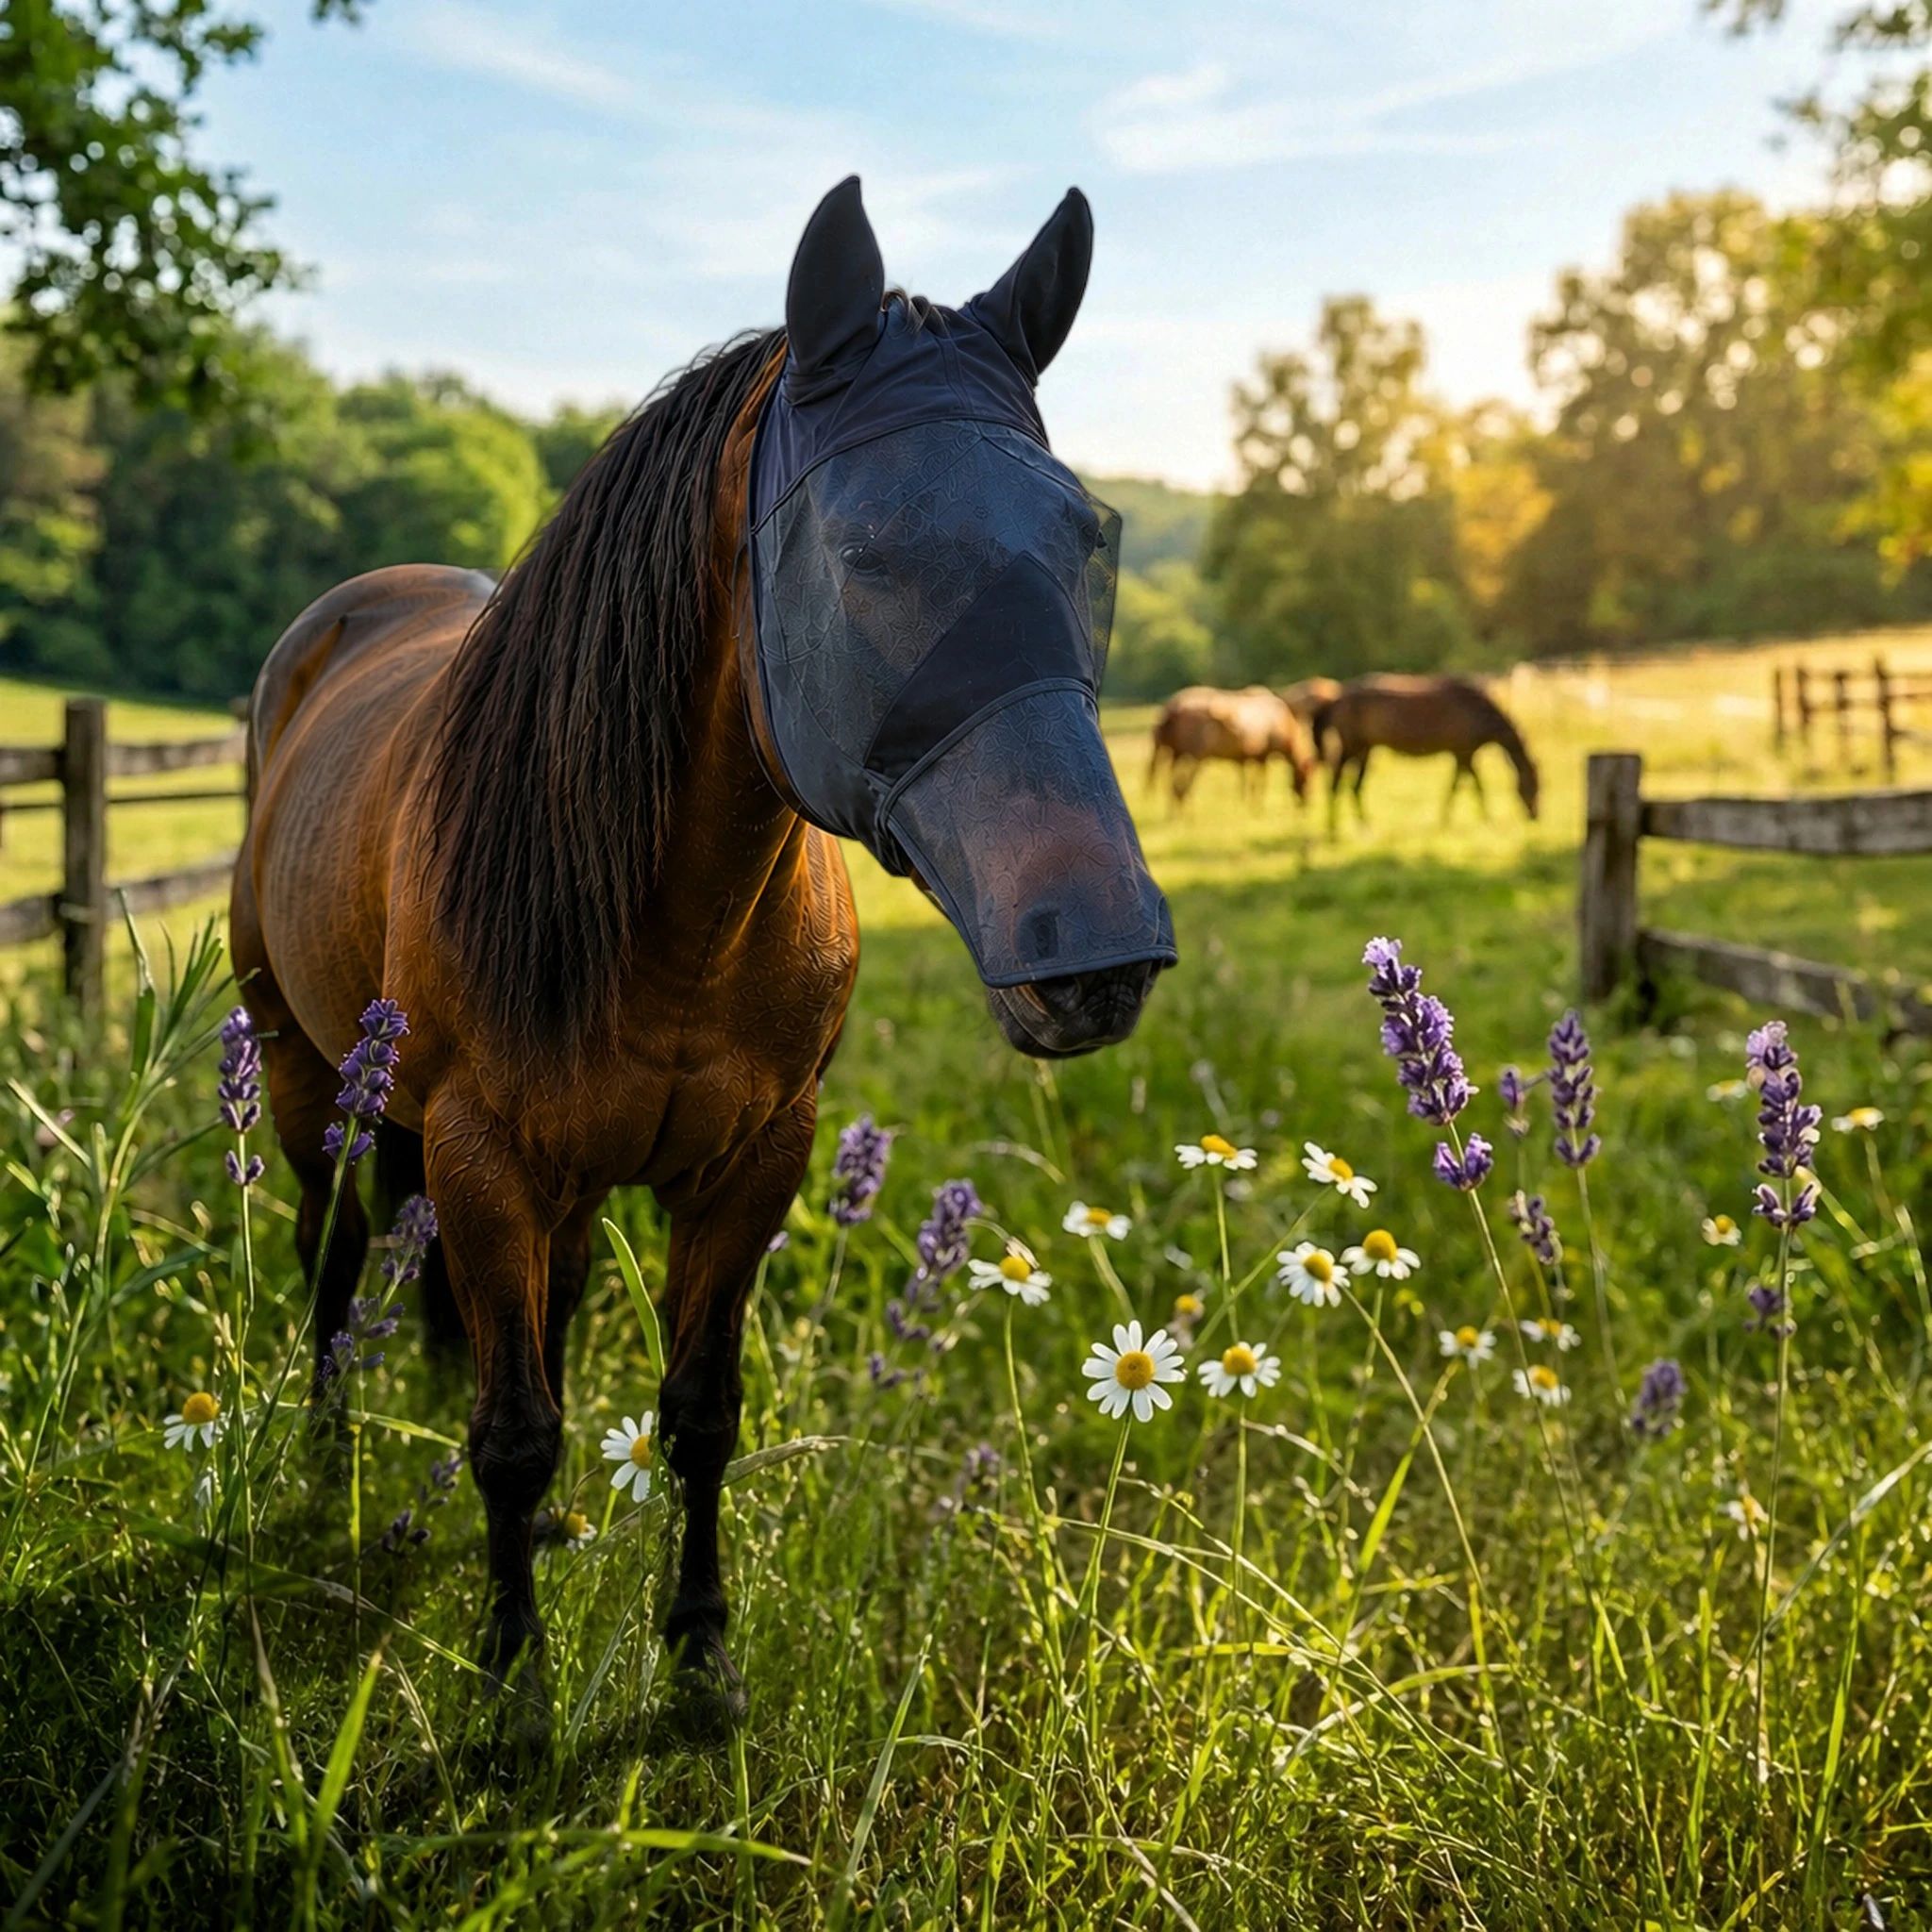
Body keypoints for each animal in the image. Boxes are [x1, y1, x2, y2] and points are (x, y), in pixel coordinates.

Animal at [231, 177, 1173, 1741]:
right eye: (866, 550)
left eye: (1086, 536)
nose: (1096, 958)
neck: (675, 919)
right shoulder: (483, 1154)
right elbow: (512, 1429)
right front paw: (513, 1689)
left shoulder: (751, 1164)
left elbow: (696, 1416)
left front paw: (700, 1660)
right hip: (314, 1082)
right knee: (333, 1255)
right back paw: (320, 1463)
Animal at [1147, 685, 1315, 810]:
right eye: (1307, 778)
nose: (1305, 804)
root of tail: (1170, 710)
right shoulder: (1262, 755)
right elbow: (1260, 782)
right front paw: (1256, 805)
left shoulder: (1252, 757)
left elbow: (1248, 781)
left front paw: (1247, 803)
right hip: (1194, 756)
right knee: (1183, 786)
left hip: (1176, 753)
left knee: (1172, 784)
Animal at [1312, 674, 1539, 832]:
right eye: (1533, 785)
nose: (1535, 816)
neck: (1478, 712)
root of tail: (1337, 699)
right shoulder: (1464, 754)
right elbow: (1473, 786)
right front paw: (1485, 819)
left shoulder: (1462, 755)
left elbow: (1460, 785)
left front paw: (1448, 819)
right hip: (1350, 748)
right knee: (1335, 783)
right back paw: (1332, 830)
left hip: (1364, 750)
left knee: (1355, 787)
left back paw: (1364, 825)